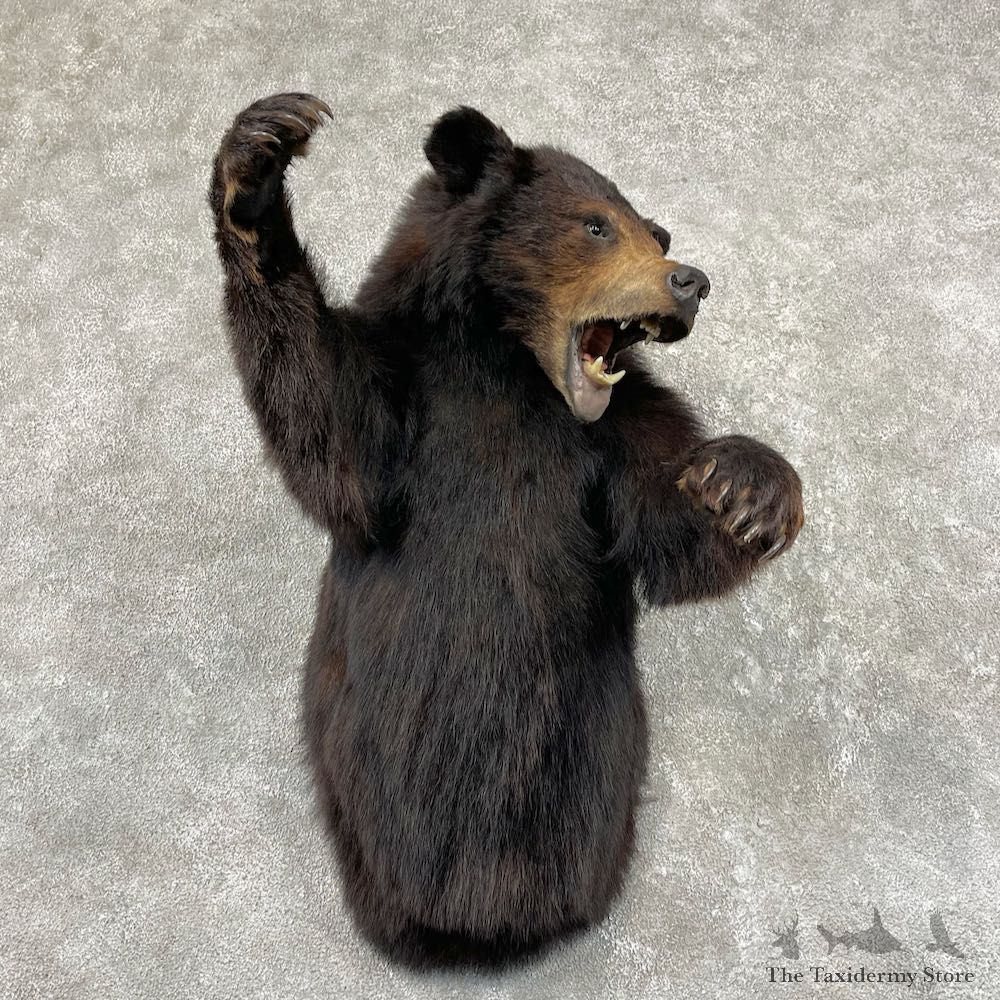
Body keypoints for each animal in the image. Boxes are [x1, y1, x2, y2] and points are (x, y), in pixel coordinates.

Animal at [209, 93, 804, 969]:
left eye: (654, 233)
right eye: (596, 224)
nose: (691, 280)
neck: (508, 362)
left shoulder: (613, 437)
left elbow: (669, 533)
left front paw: (745, 487)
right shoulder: (408, 391)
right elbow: (331, 436)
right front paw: (260, 161)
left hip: (598, 735)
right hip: (354, 739)